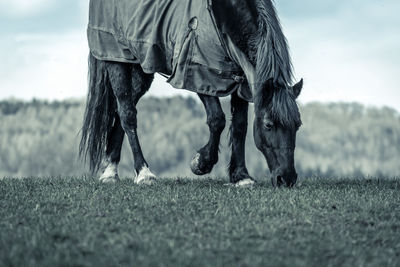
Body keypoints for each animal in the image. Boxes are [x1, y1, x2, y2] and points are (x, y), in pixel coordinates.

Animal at [79, 0, 304, 187]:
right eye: (269, 125)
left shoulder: (241, 81)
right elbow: (217, 120)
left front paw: (241, 176)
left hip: (142, 66)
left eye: (298, 125)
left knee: (121, 110)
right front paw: (201, 163)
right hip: (116, 58)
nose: (287, 179)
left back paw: (110, 171)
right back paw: (143, 173)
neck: (223, 14)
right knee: (128, 114)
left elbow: (240, 126)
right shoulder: (198, 72)